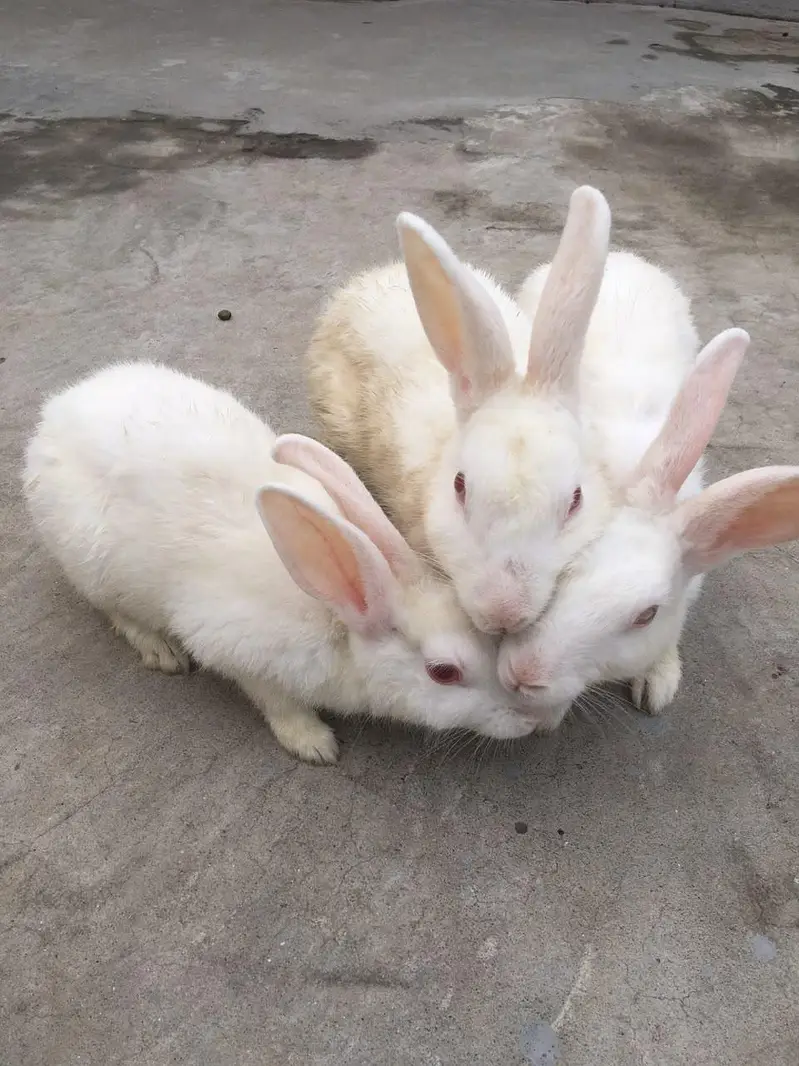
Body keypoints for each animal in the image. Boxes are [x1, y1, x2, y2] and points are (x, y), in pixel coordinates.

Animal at [23, 363, 545, 766]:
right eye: (443, 672)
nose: (529, 721)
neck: (338, 622)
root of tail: (53, 416)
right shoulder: (242, 656)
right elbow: (276, 703)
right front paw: (315, 745)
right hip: (94, 567)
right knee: (116, 612)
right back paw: (160, 651)